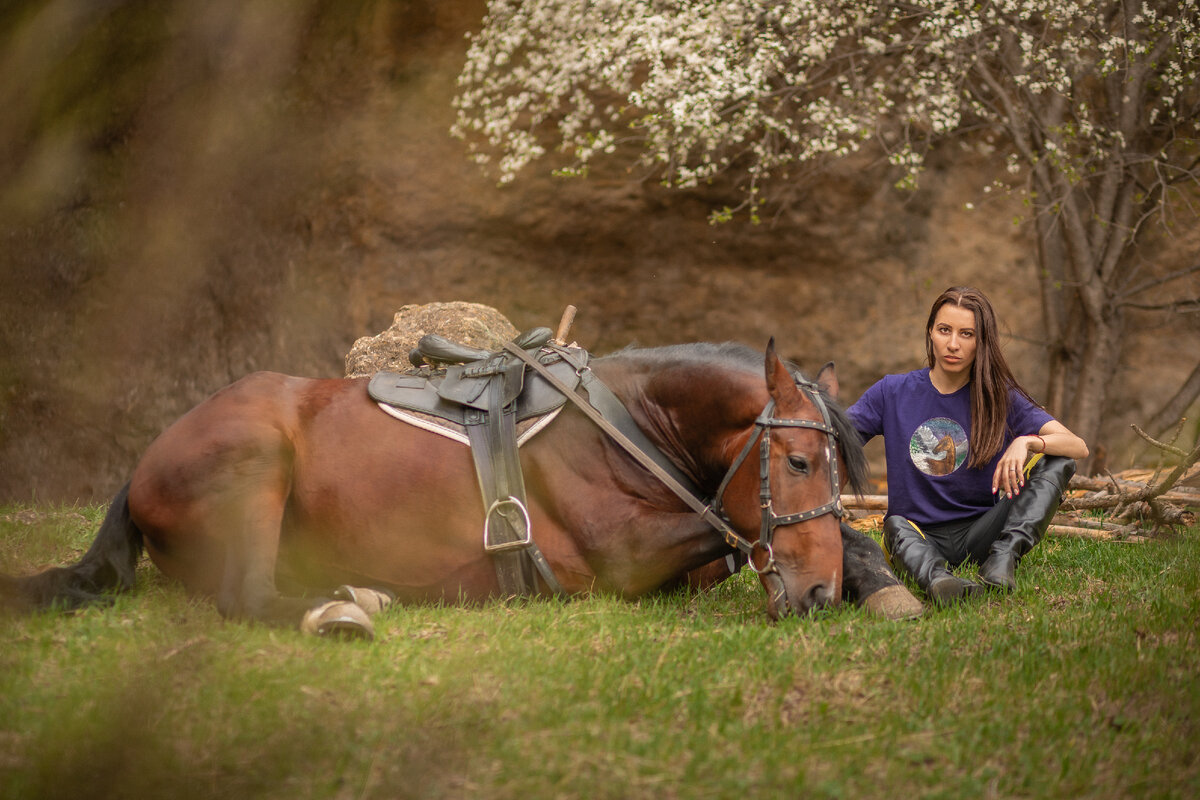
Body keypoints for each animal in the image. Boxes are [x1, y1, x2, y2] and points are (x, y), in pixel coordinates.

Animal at [3, 338, 921, 636]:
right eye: (796, 464)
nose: (814, 596)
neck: (627, 427)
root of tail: (141, 466)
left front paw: (874, 579)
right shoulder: (619, 561)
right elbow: (736, 535)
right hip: (256, 459)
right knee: (245, 595)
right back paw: (342, 608)